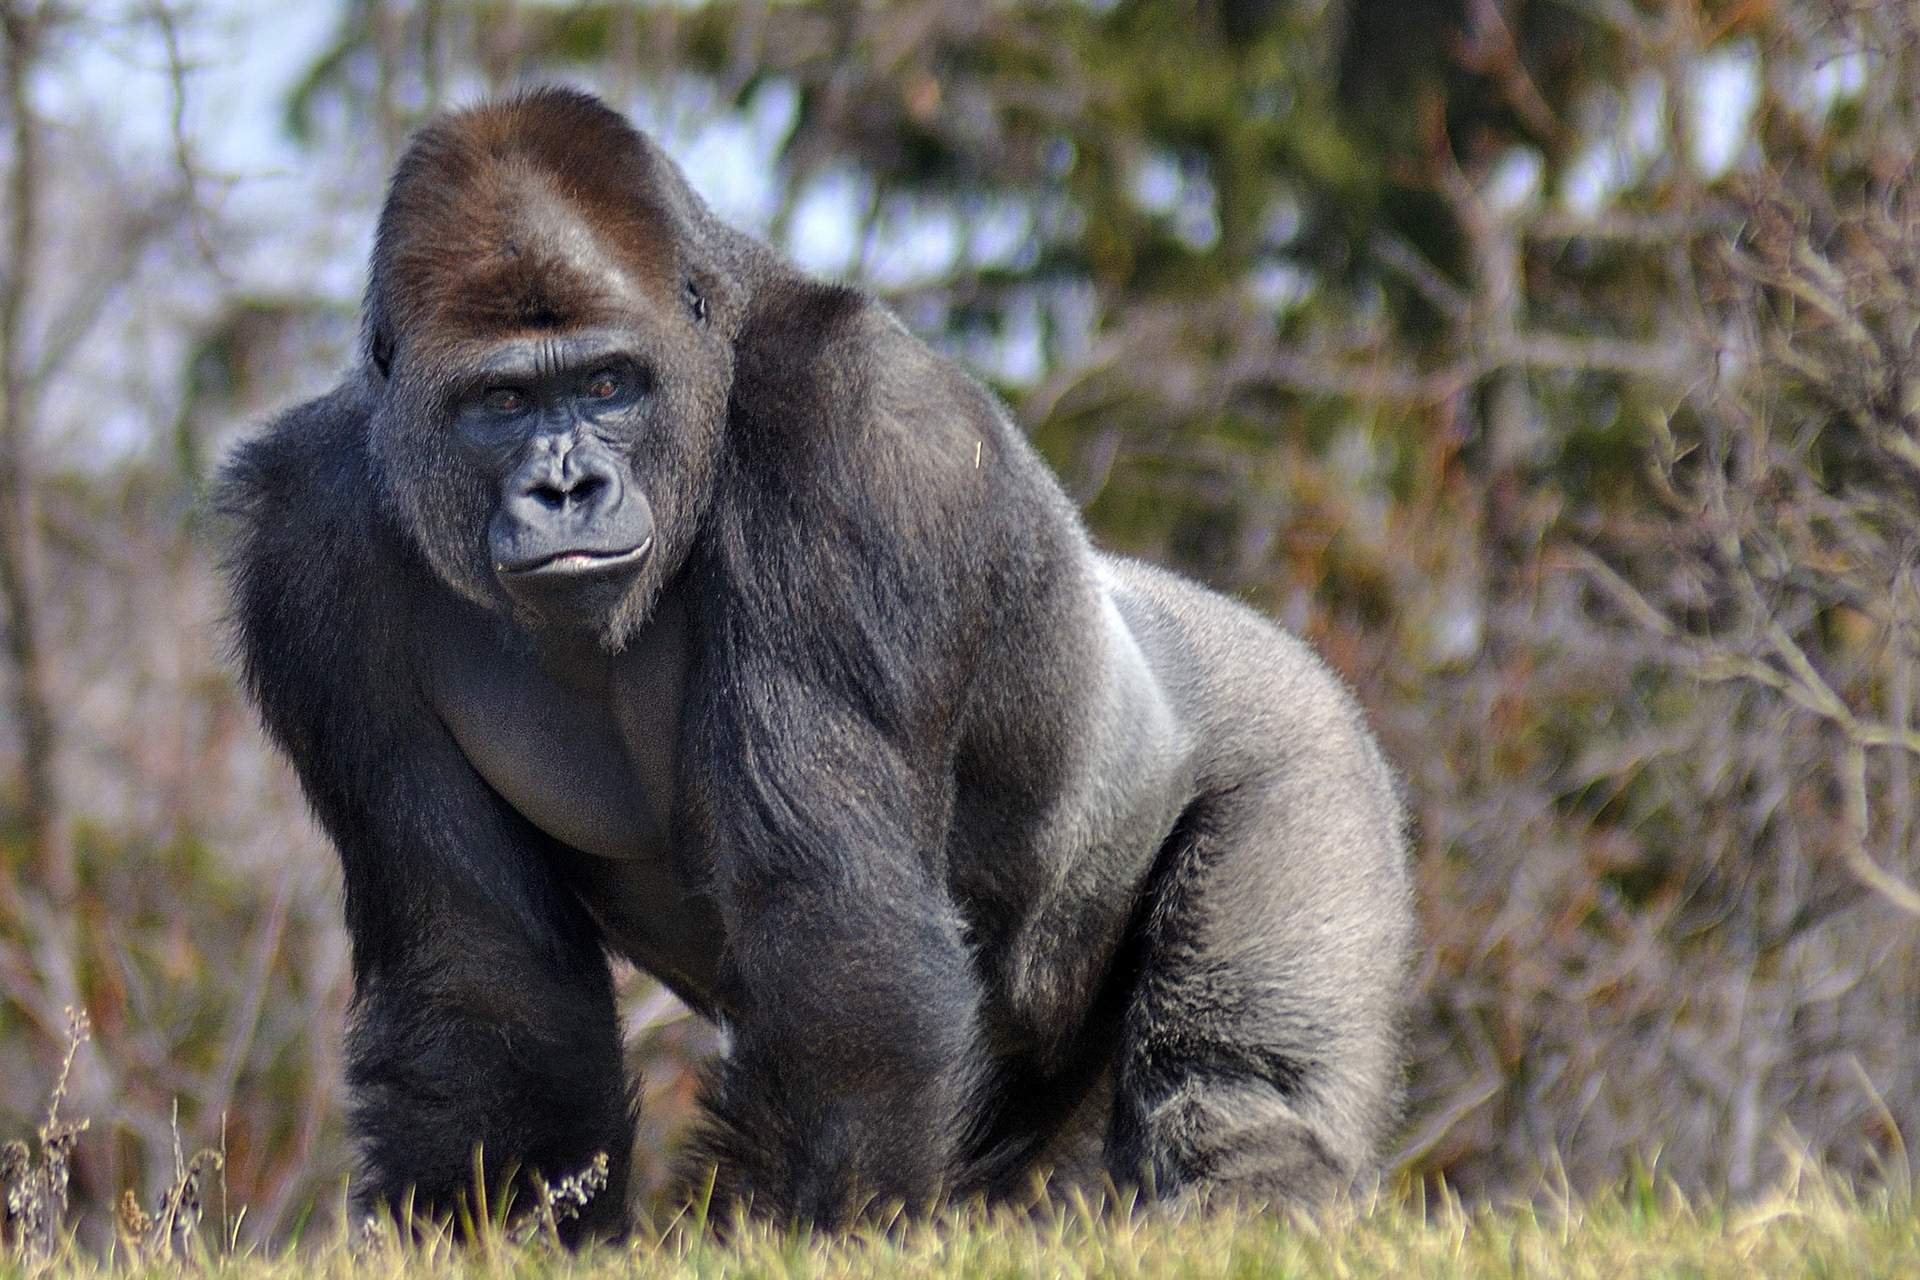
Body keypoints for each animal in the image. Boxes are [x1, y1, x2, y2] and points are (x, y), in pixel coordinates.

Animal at [217, 87, 1420, 1243]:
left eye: (608, 385)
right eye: (501, 401)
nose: (566, 489)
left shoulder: (852, 425)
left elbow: (836, 932)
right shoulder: (306, 539)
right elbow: (481, 979)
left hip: (1308, 749)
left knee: (1240, 1089)